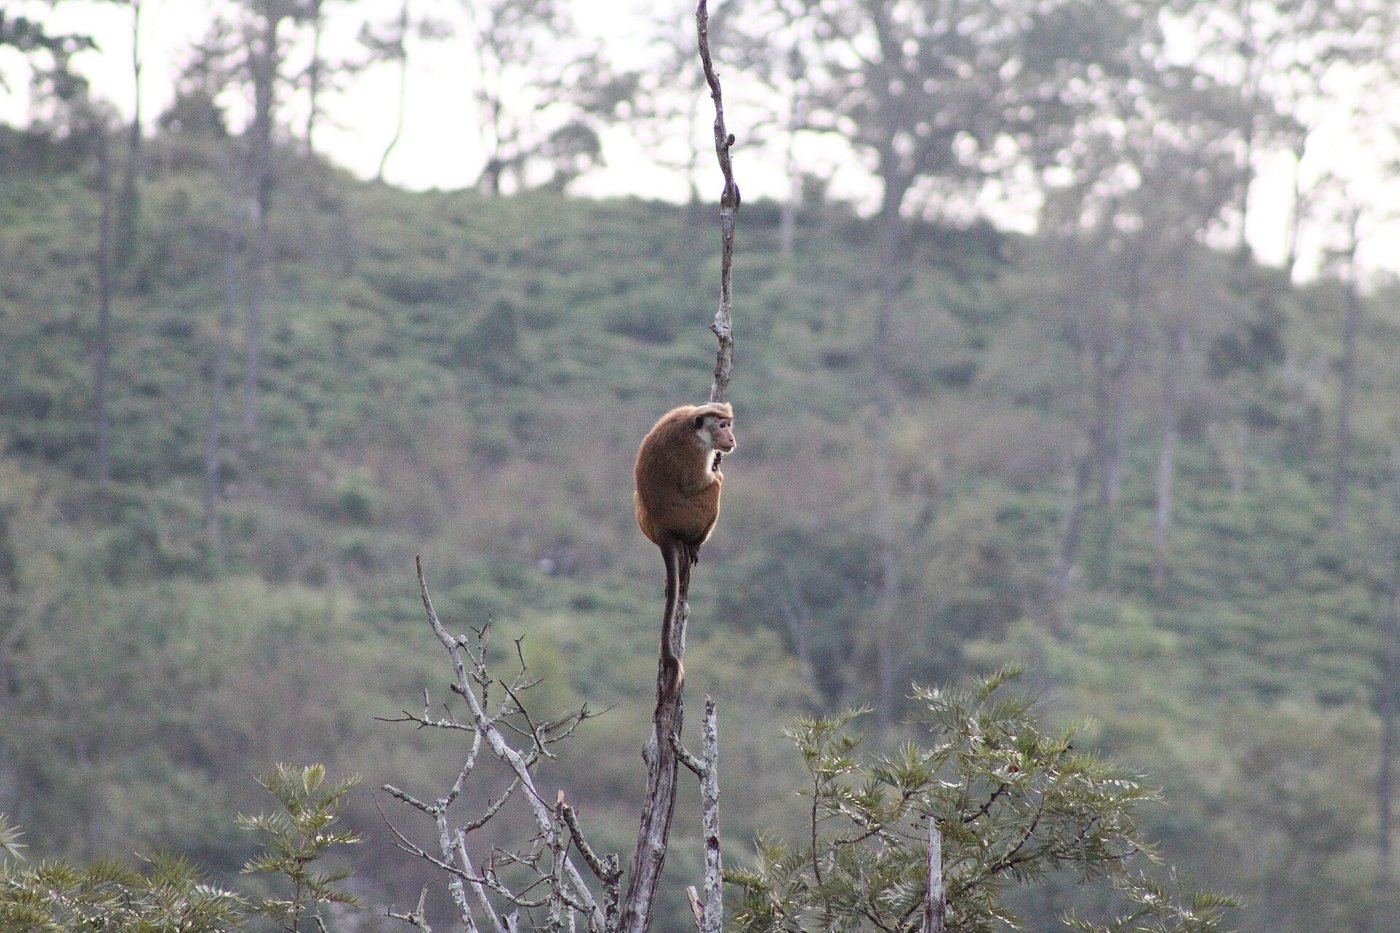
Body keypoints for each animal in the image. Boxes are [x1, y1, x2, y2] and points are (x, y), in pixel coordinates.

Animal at [634, 401, 736, 697]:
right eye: (722, 425)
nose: (731, 438)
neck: (695, 424)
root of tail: (661, 529)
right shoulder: (694, 451)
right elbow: (699, 484)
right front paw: (715, 467)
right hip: (689, 518)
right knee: (714, 487)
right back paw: (694, 542)